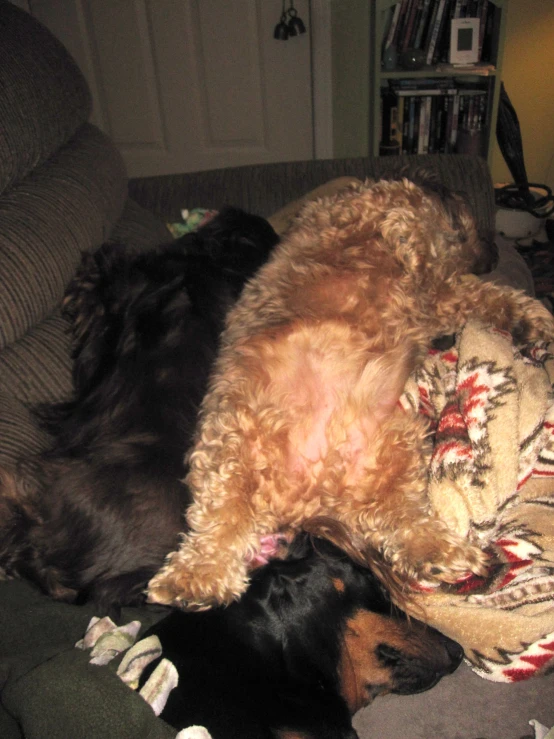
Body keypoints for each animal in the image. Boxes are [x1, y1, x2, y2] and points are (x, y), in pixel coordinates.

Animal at [147, 176, 552, 608]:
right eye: (477, 226)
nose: (495, 252)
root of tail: (310, 491)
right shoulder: (413, 254)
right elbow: (472, 287)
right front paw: (529, 314)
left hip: (395, 446)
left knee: (402, 519)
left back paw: (434, 552)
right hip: (232, 447)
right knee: (219, 523)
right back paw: (194, 577)